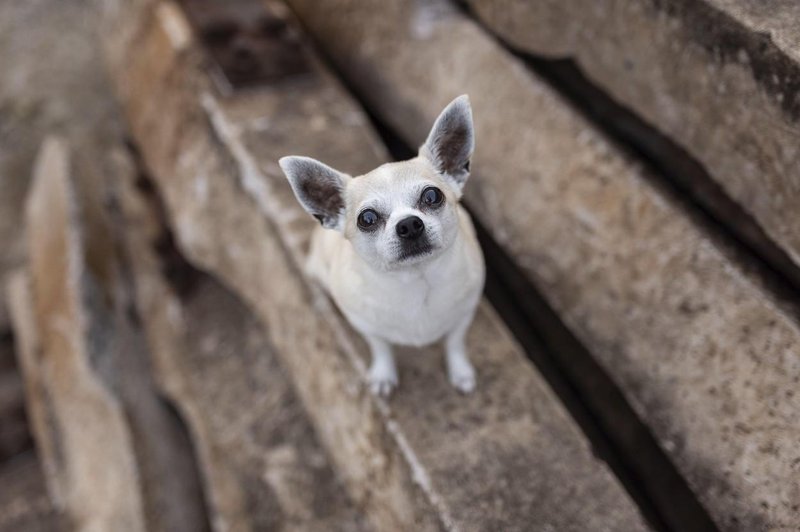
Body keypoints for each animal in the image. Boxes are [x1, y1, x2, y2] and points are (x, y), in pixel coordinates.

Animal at [278, 94, 484, 394]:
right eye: (367, 219)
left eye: (432, 196)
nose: (409, 224)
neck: (415, 280)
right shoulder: (367, 326)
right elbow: (381, 347)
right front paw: (383, 375)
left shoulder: (464, 315)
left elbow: (454, 342)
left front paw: (460, 371)